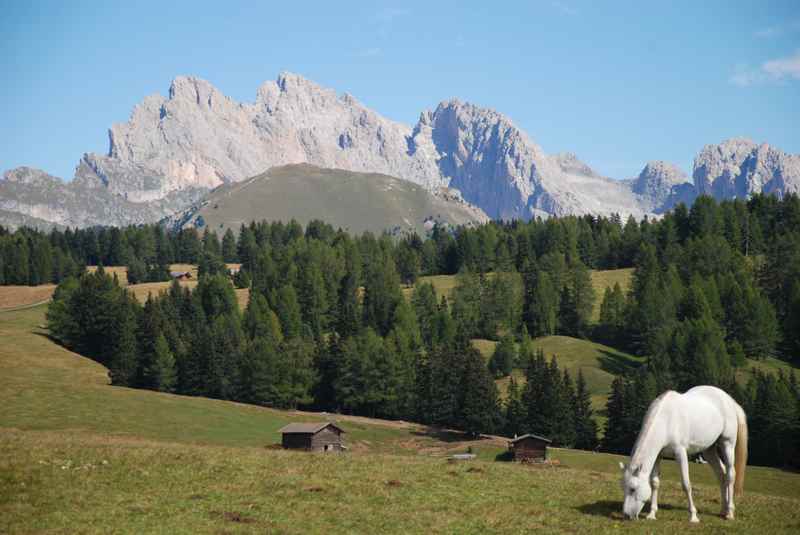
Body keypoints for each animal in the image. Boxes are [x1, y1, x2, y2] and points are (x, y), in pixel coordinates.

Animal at [620, 386, 748, 524]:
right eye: (623, 488)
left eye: (632, 489)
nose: (626, 515)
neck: (666, 420)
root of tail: (729, 400)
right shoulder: (658, 456)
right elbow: (654, 483)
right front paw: (652, 514)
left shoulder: (680, 453)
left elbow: (686, 484)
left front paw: (693, 516)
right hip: (709, 450)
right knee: (721, 475)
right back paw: (723, 510)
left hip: (727, 444)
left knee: (730, 475)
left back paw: (729, 512)